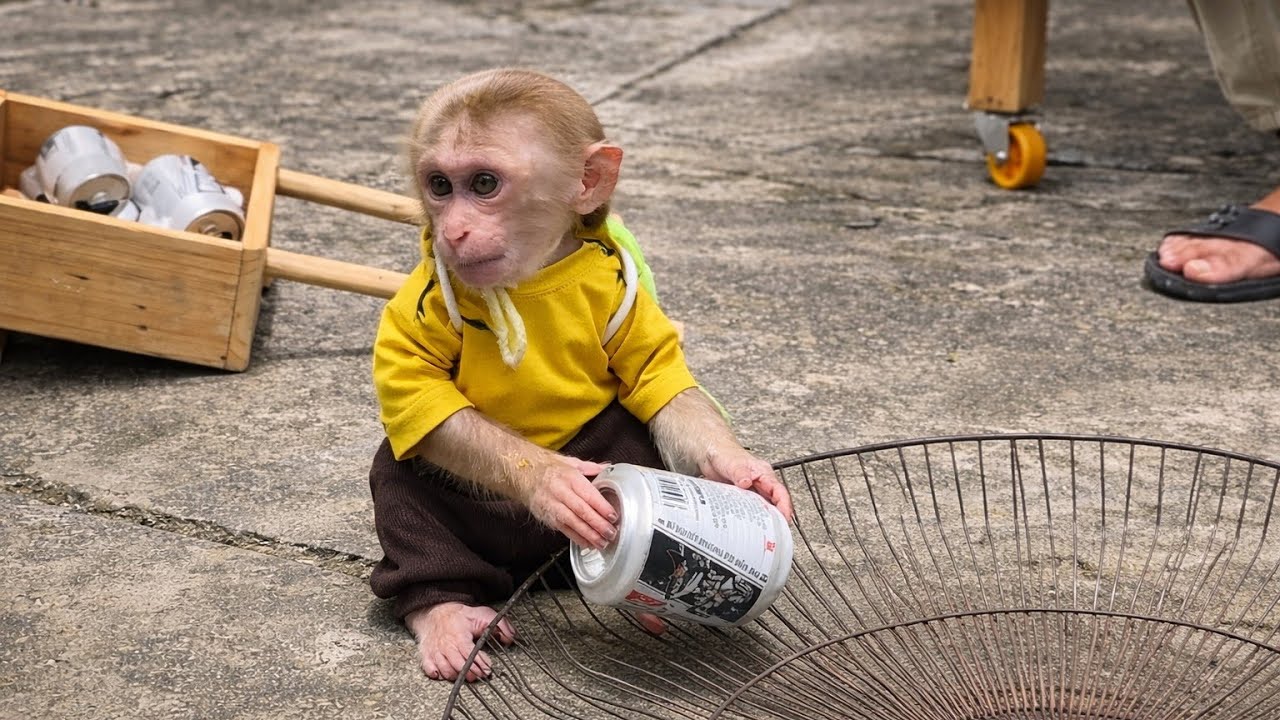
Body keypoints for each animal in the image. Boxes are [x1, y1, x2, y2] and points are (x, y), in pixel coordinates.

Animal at [366, 67, 794, 684]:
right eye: (440, 186)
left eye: (485, 184)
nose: (453, 231)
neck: (533, 277)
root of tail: (529, 570)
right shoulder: (422, 297)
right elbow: (424, 397)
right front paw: (552, 483)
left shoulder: (629, 301)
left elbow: (661, 389)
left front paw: (744, 474)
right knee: (405, 482)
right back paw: (446, 612)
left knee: (626, 430)